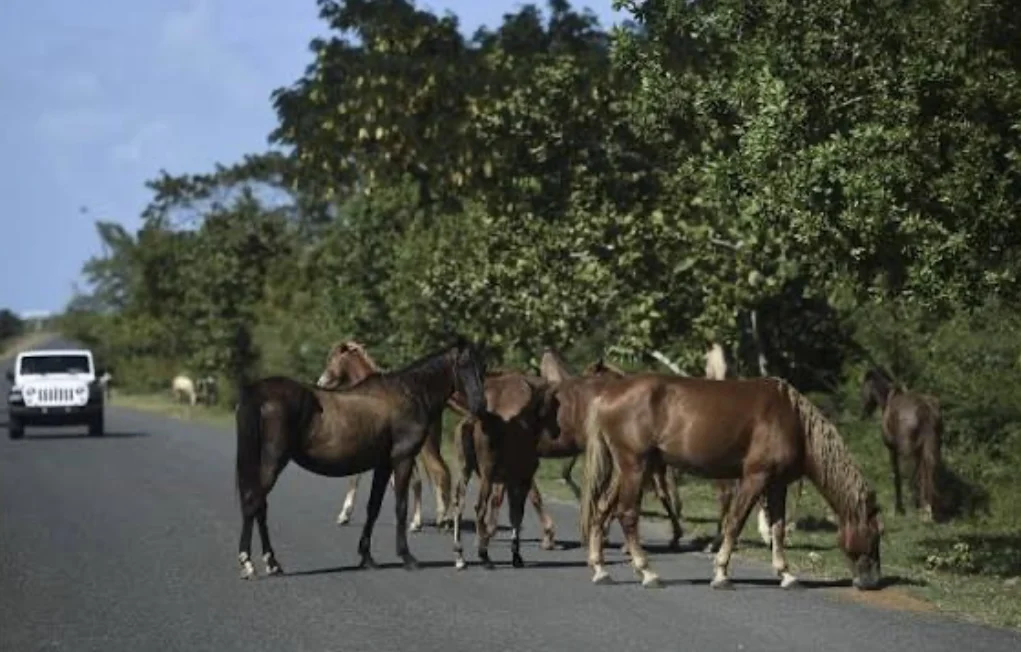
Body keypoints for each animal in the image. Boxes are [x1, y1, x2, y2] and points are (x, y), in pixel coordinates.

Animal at [316, 340, 452, 532]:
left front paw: (344, 515)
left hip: (426, 446)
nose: (320, 382)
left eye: (331, 358)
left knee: (439, 472)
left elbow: (356, 476)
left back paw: (438, 519)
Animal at [450, 372, 562, 569]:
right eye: (555, 405)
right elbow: (518, 514)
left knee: (459, 502)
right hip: (486, 474)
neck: (528, 428)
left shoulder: (509, 480)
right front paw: (516, 556)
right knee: (479, 507)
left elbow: (512, 513)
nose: (557, 430)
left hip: (464, 467)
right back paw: (484, 555)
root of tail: (471, 422)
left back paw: (460, 554)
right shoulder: (522, 479)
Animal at [580, 372, 883, 591]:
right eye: (876, 534)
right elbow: (735, 523)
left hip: (629, 470)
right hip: (635, 467)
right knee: (627, 514)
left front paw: (786, 575)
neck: (793, 423)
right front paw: (721, 574)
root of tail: (607, 395)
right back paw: (648, 573)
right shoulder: (755, 478)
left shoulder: (777, 484)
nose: (872, 583)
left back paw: (600, 570)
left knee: (602, 509)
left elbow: (777, 528)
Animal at [861, 366, 943, 521]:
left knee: (911, 476)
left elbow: (897, 476)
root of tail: (925, 409)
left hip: (907, 452)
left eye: (864, 388)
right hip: (929, 449)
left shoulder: (892, 450)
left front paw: (899, 508)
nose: (864, 413)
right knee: (927, 473)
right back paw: (926, 510)